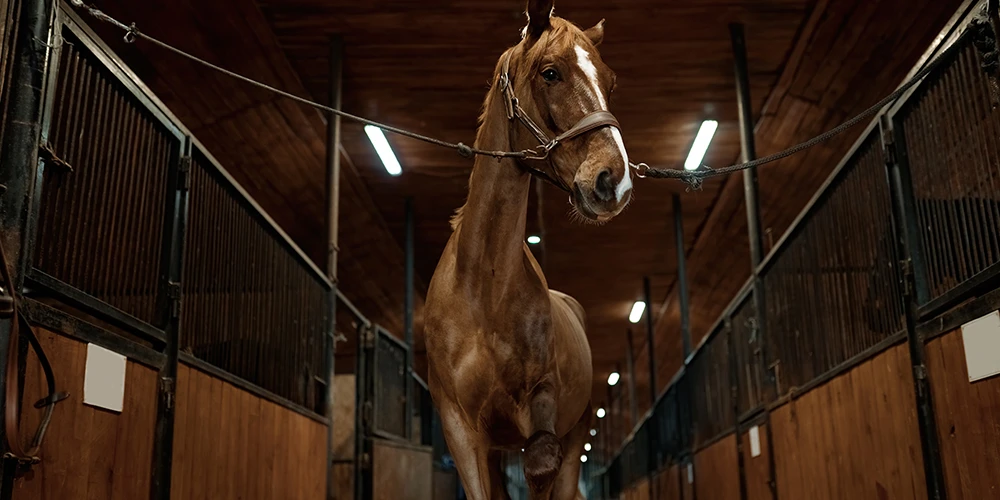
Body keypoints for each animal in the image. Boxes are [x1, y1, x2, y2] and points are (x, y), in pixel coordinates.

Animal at [424, 1, 628, 498]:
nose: (613, 180)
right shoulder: (461, 430)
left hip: (574, 433)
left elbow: (540, 463)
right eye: (550, 73)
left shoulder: (543, 405)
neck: (484, 289)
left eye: (610, 81)